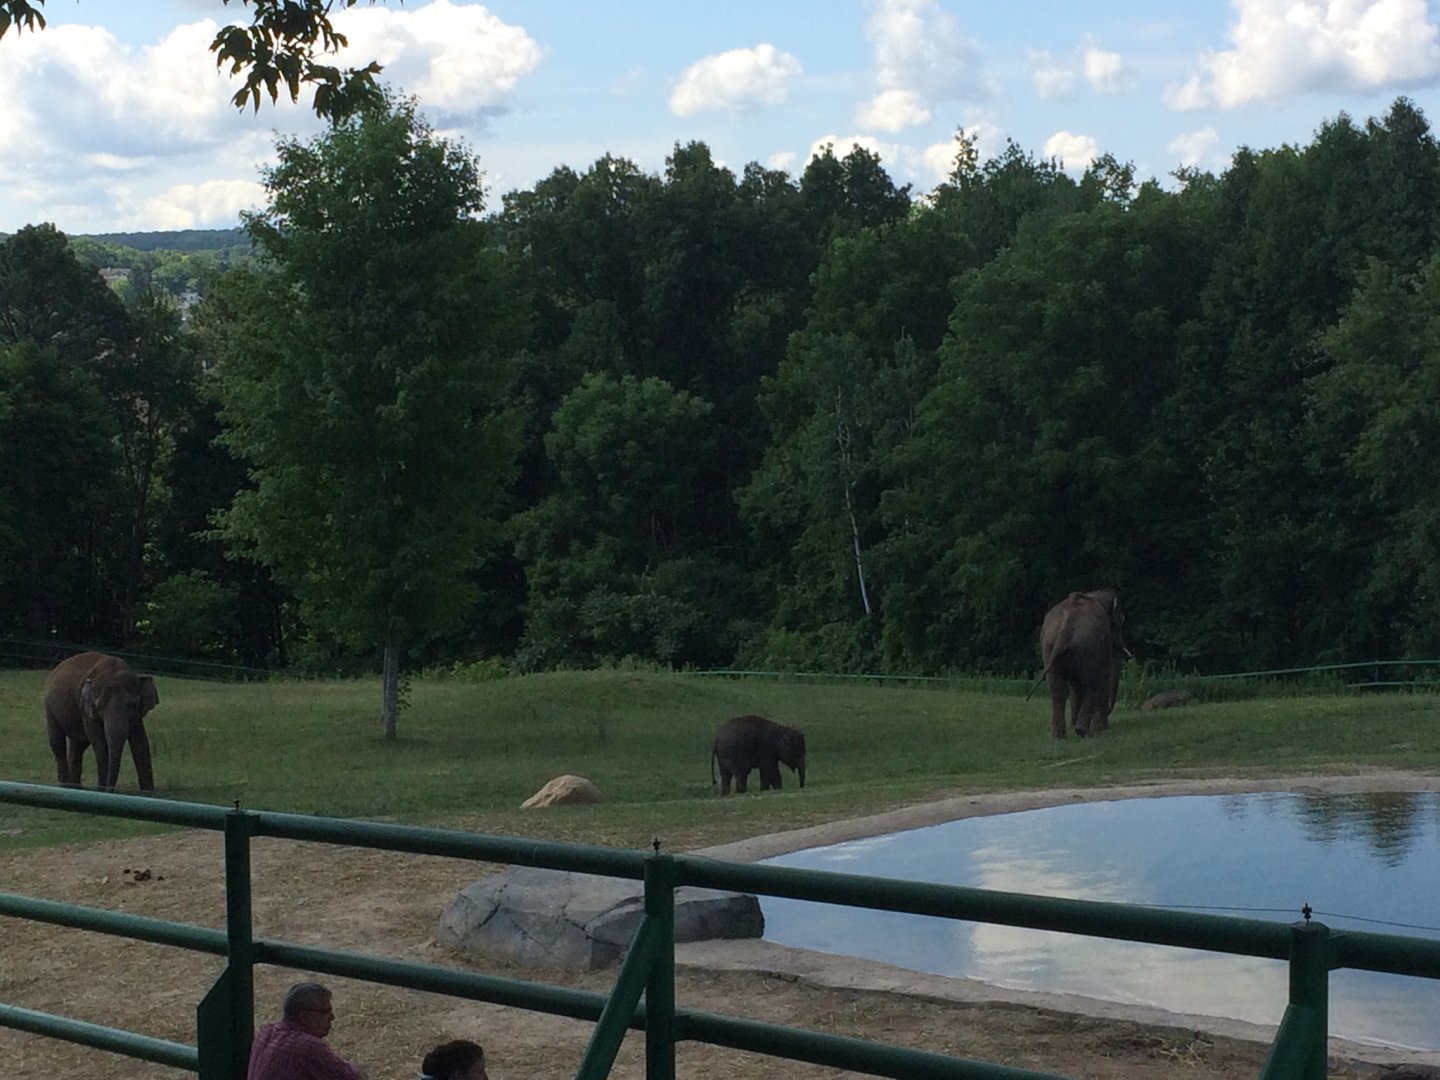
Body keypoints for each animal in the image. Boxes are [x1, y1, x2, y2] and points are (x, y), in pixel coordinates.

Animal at [44, 651, 160, 792]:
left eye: (132, 706)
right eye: (99, 707)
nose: (109, 790)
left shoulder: (137, 715)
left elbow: (140, 743)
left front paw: (149, 793)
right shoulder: (86, 709)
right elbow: (100, 743)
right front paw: (101, 790)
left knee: (78, 745)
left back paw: (76, 787)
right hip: (49, 706)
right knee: (57, 742)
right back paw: (67, 786)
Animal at [1039, 589, 1127, 738]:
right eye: (1119, 622)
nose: (1109, 709)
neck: (1093, 595)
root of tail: (1066, 627)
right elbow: (1103, 675)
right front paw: (1102, 728)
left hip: (1049, 646)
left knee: (1057, 688)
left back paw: (1059, 735)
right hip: (1088, 646)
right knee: (1091, 682)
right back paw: (1082, 731)